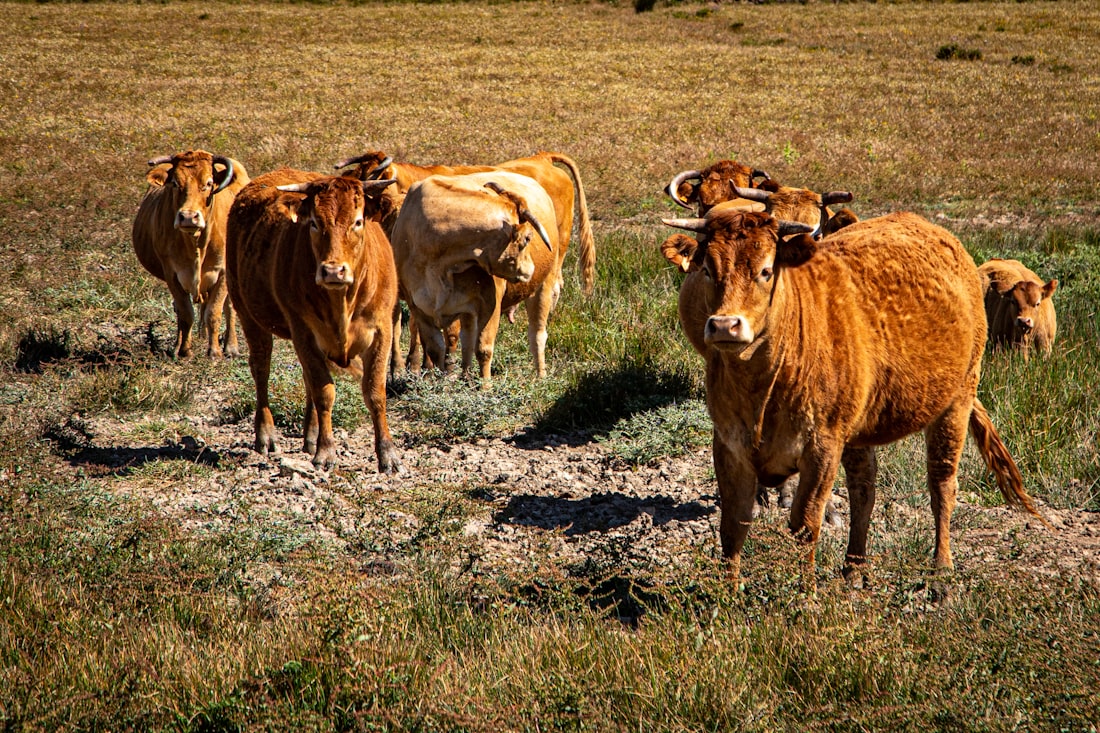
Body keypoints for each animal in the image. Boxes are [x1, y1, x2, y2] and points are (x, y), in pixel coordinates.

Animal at [132, 149, 250, 358]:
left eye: (209, 183)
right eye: (175, 183)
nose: (188, 217)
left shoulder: (223, 272)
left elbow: (214, 312)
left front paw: (215, 352)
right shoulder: (172, 273)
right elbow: (186, 313)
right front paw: (184, 351)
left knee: (229, 308)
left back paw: (231, 347)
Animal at [226, 170, 402, 473]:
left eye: (357, 221)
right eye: (315, 223)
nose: (333, 270)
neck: (342, 301)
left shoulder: (381, 331)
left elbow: (375, 392)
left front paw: (387, 454)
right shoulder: (303, 331)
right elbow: (324, 391)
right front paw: (326, 451)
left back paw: (310, 436)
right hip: (248, 314)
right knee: (261, 369)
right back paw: (266, 435)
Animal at [388, 171, 557, 387]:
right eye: (528, 238)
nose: (531, 269)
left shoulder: (490, 302)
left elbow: (483, 348)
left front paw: (485, 387)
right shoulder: (417, 306)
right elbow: (436, 349)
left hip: (543, 286)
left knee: (537, 334)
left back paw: (540, 376)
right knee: (467, 338)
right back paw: (466, 376)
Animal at [660, 208, 1046, 582]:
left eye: (766, 271)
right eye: (708, 269)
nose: (725, 325)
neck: (762, 390)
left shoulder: (822, 447)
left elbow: (805, 525)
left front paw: (803, 593)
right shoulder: (729, 446)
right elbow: (733, 526)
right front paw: (729, 593)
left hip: (957, 400)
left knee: (942, 485)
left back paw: (941, 575)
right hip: (860, 425)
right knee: (864, 489)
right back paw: (854, 569)